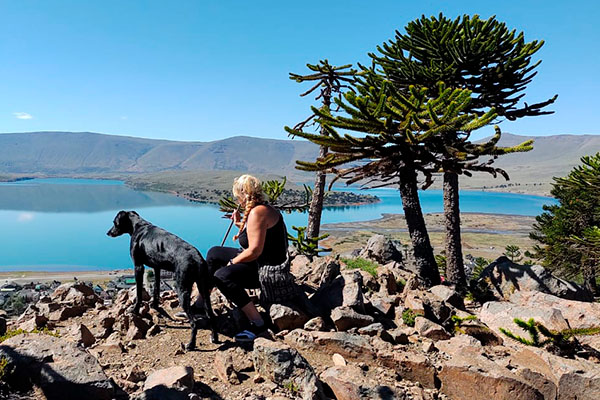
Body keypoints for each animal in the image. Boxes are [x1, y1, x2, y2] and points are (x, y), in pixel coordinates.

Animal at [107, 211, 218, 348]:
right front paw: (155, 305)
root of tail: (197, 258)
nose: (108, 232)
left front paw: (135, 310)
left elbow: (138, 293)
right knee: (210, 314)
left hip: (182, 290)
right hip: (203, 288)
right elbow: (156, 289)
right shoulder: (157, 268)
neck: (138, 226)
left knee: (194, 322)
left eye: (114, 222)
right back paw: (214, 337)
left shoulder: (138, 267)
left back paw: (191, 344)